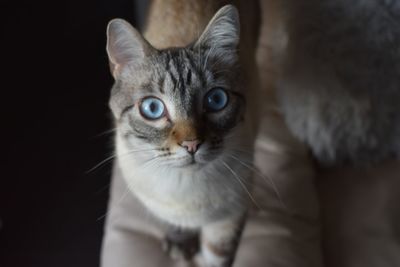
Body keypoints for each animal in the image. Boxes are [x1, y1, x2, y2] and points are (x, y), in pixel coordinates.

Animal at [104, 3, 260, 266]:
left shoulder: (228, 218)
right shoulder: (159, 206)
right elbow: (173, 224)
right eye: (152, 108)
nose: (192, 144)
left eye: (216, 99)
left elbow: (216, 255)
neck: (184, 187)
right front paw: (180, 243)